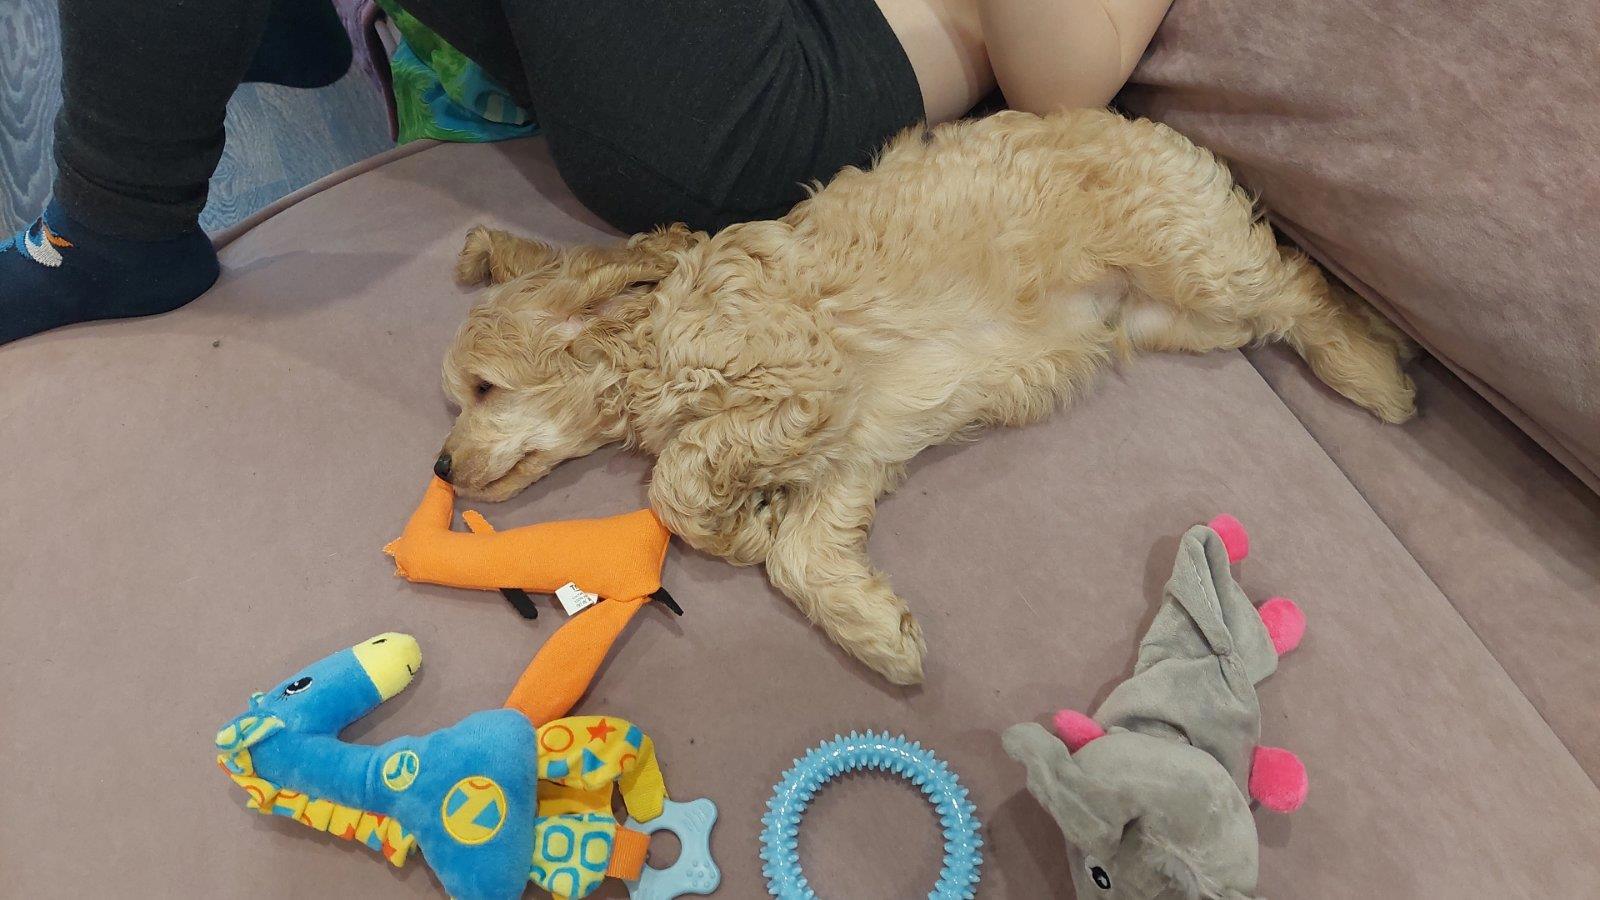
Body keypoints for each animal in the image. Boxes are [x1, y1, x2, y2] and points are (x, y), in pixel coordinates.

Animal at [437, 109, 1416, 684]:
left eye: (484, 388)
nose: (441, 467)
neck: (659, 330)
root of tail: (1162, 130)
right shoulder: (847, 443)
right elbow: (801, 553)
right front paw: (875, 629)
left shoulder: (799, 372)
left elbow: (678, 482)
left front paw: (733, 525)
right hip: (1173, 319)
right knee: (1286, 295)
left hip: (1197, 262)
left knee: (1299, 283)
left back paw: (1376, 370)